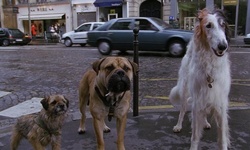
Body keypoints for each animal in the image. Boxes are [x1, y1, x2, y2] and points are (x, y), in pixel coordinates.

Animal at [170, 8, 230, 150]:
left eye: (223, 25)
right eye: (208, 26)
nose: (223, 46)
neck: (210, 67)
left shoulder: (220, 101)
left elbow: (223, 138)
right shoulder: (197, 101)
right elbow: (195, 136)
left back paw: (206, 123)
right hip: (185, 91)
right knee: (182, 110)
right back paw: (178, 125)